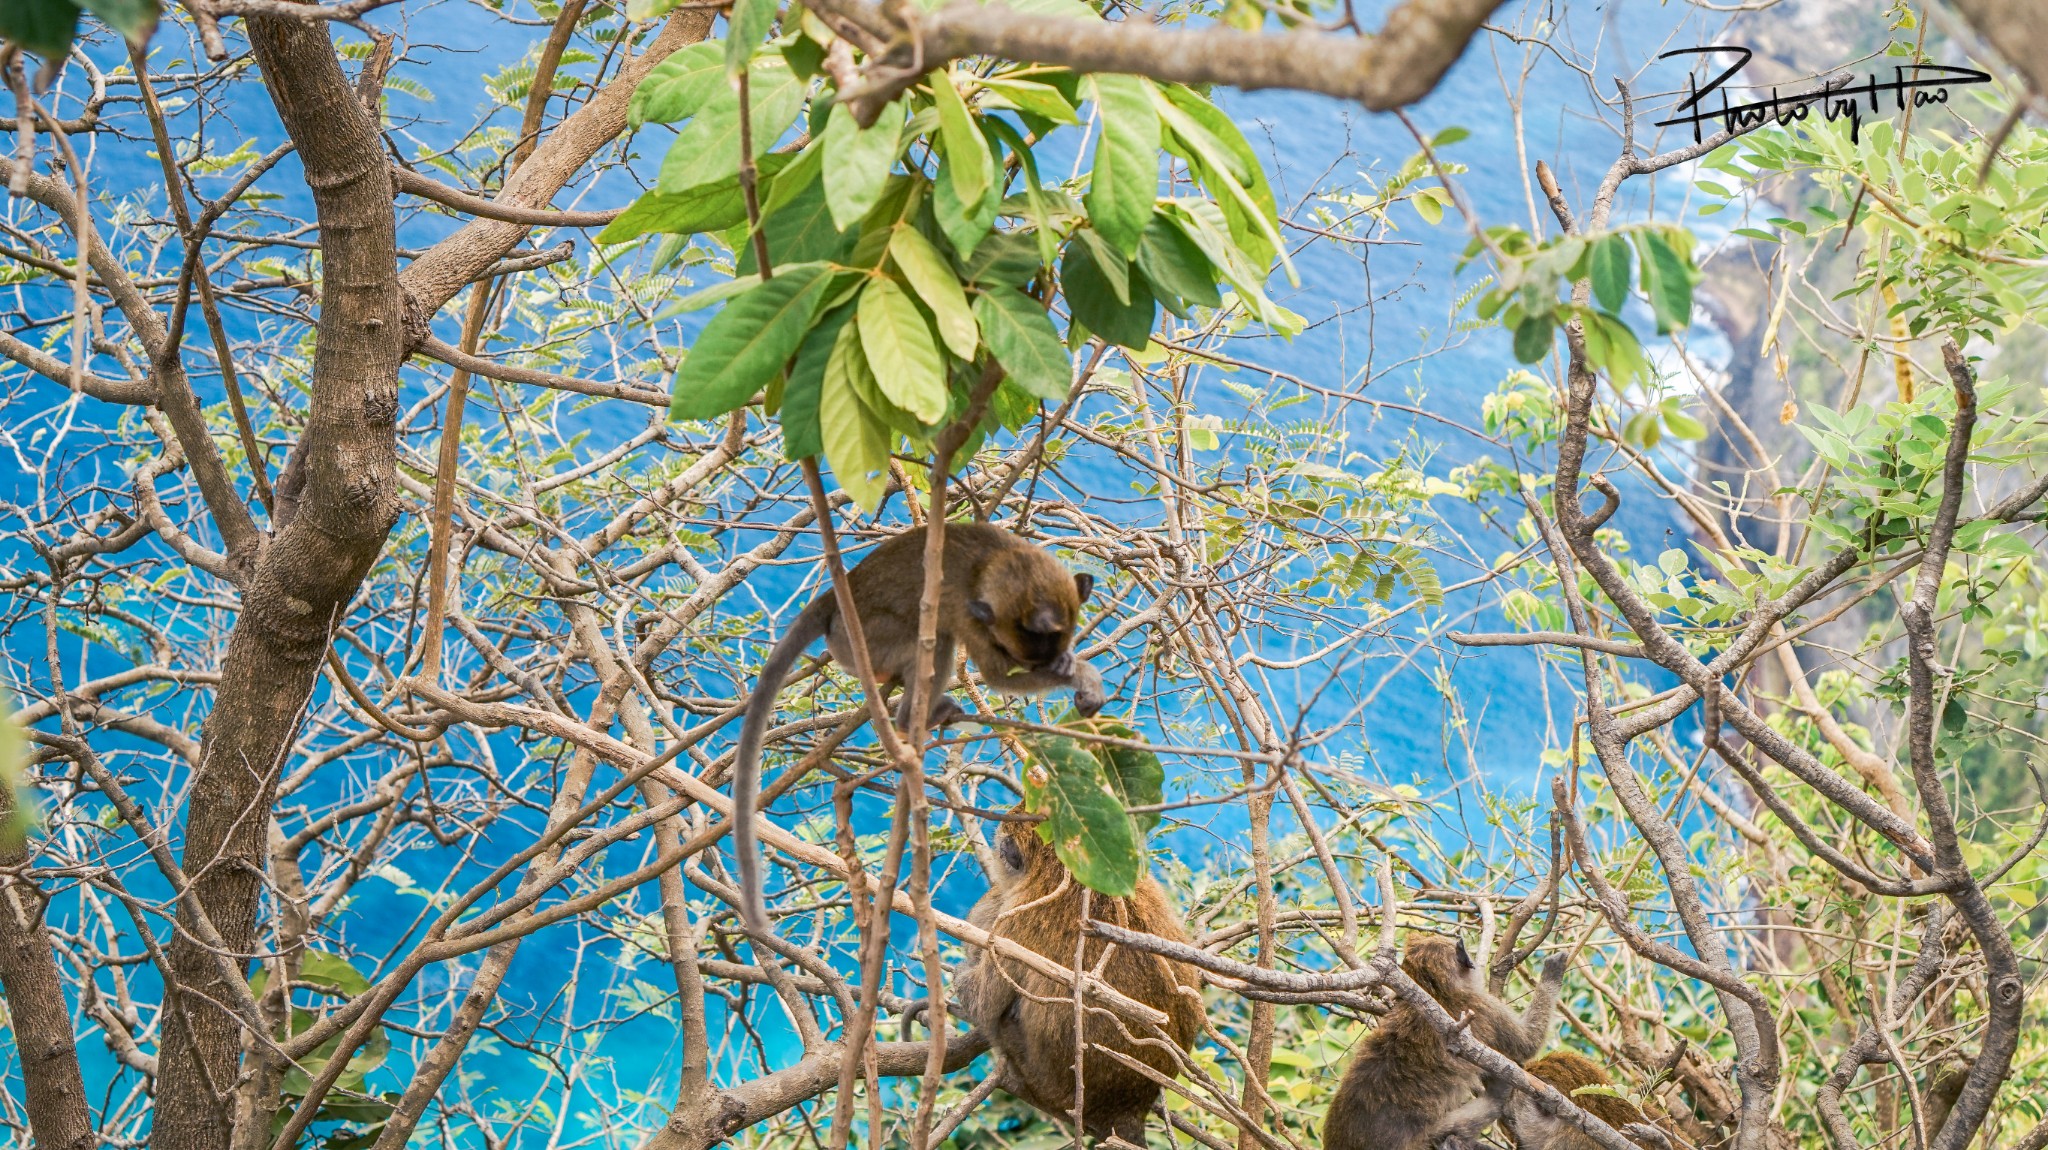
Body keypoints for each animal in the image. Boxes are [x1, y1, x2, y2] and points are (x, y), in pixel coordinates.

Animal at [737, 521, 1114, 933]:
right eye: (1021, 651)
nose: (1041, 663)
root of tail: (834, 600)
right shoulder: (970, 611)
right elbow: (995, 674)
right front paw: (1081, 674)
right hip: (865, 642)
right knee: (935, 640)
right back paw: (910, 718)